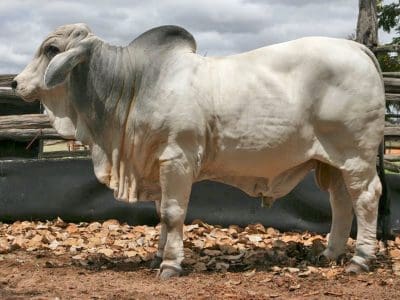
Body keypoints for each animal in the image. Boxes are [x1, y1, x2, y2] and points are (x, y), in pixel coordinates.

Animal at [14, 22, 386, 278]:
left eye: (51, 49)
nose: (15, 83)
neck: (135, 84)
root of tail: (358, 49)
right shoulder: (158, 166)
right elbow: (161, 214)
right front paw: (159, 255)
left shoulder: (176, 158)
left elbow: (173, 213)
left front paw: (170, 265)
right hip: (333, 162)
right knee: (341, 202)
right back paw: (330, 254)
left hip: (356, 156)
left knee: (366, 198)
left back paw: (360, 259)